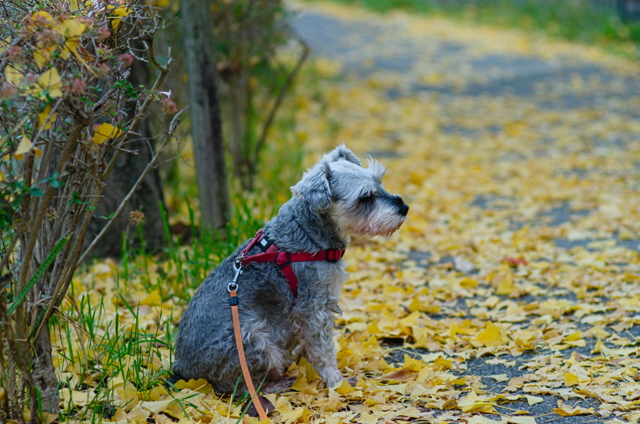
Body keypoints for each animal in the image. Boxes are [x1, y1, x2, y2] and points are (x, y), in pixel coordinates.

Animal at [172, 146, 408, 394]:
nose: (404, 208)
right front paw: (336, 382)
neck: (307, 233)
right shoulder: (315, 306)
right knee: (240, 386)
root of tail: (183, 371)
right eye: (365, 197)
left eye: (379, 182)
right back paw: (277, 383)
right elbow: (323, 349)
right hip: (251, 336)